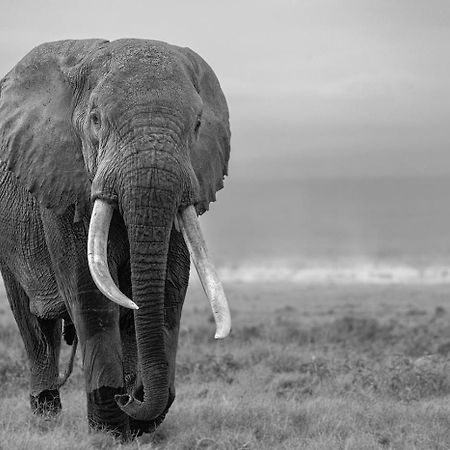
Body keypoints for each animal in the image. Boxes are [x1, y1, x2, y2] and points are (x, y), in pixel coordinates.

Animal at [0, 39, 232, 440]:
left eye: (198, 125)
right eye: (96, 120)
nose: (130, 395)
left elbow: (168, 289)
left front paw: (135, 420)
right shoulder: (66, 184)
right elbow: (91, 293)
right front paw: (109, 431)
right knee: (33, 321)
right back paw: (46, 419)